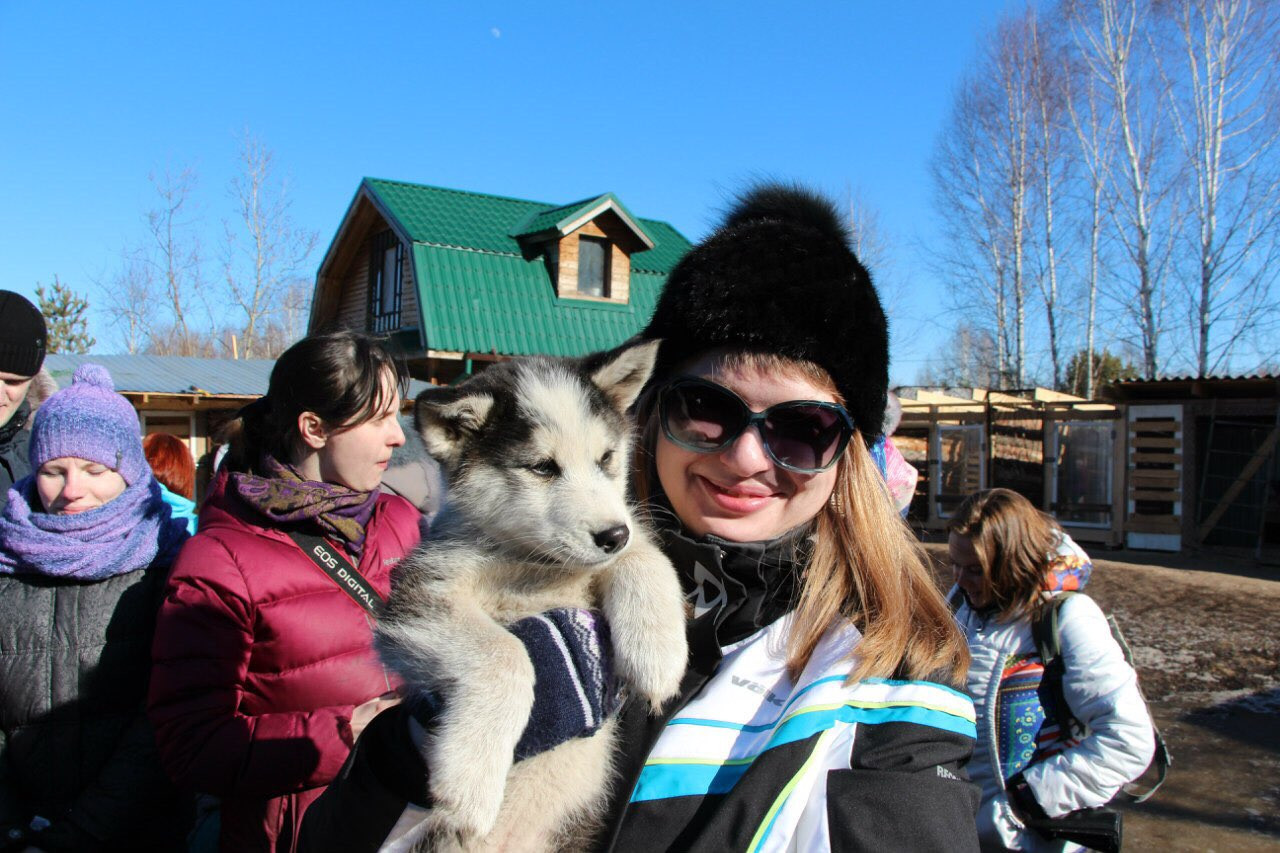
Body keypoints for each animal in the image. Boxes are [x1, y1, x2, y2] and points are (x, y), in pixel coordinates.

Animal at [373, 340, 686, 850]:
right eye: (542, 467)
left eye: (606, 458)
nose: (612, 535)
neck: (536, 569)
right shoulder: (420, 592)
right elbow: (506, 653)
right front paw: (470, 780)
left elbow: (647, 556)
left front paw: (656, 654)